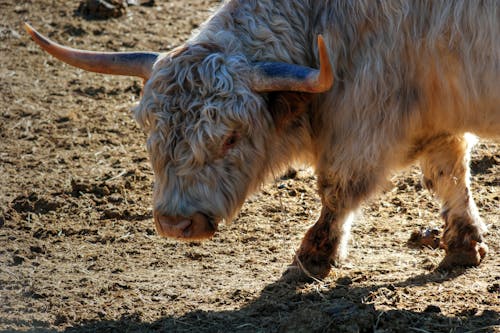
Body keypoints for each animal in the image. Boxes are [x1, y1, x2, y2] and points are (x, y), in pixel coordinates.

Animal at [28, 0, 500, 280]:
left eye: (230, 138)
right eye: (150, 132)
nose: (176, 224)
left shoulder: (363, 122)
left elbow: (337, 189)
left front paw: (313, 253)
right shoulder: (437, 115)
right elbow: (448, 175)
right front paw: (463, 244)